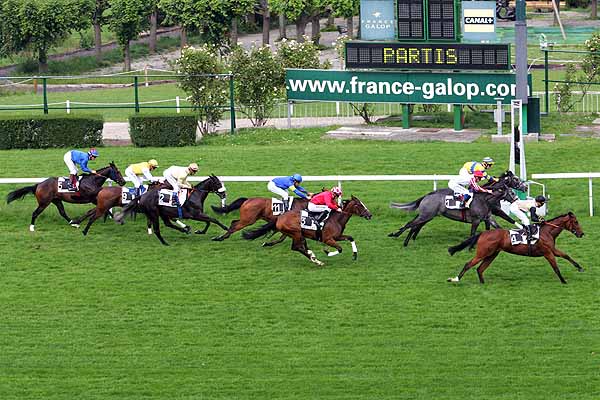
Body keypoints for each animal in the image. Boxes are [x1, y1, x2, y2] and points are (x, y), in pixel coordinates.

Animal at [241, 196, 372, 268]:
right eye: (359, 205)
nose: (370, 215)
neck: (336, 218)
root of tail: (280, 217)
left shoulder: (337, 236)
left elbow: (351, 238)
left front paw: (355, 255)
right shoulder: (328, 239)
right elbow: (339, 249)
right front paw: (327, 252)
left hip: (296, 234)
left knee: (299, 247)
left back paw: (314, 258)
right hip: (296, 233)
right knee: (296, 247)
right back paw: (315, 258)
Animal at [390, 170, 524, 245]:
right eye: (516, 179)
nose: (525, 187)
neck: (485, 200)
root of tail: (427, 195)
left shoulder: (489, 217)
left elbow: (498, 227)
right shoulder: (477, 219)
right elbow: (473, 233)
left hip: (428, 215)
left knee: (415, 225)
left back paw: (409, 238)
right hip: (427, 215)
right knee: (411, 224)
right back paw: (397, 236)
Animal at [448, 212, 584, 284]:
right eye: (576, 222)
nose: (582, 234)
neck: (547, 232)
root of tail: (482, 233)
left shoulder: (553, 250)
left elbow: (566, 255)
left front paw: (579, 267)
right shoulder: (547, 252)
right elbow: (555, 267)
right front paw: (563, 280)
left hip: (492, 254)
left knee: (480, 269)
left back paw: (483, 283)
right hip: (482, 253)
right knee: (468, 264)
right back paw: (455, 279)